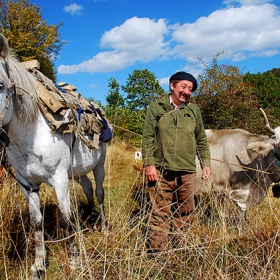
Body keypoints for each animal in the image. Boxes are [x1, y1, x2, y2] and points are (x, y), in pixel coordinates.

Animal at [0, 33, 107, 278]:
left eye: (0, 85)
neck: (31, 135)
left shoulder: (59, 180)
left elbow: (66, 220)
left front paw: (74, 261)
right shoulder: (27, 184)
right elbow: (36, 222)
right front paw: (38, 265)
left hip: (99, 166)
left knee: (98, 191)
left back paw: (103, 225)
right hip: (77, 172)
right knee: (87, 187)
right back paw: (88, 215)